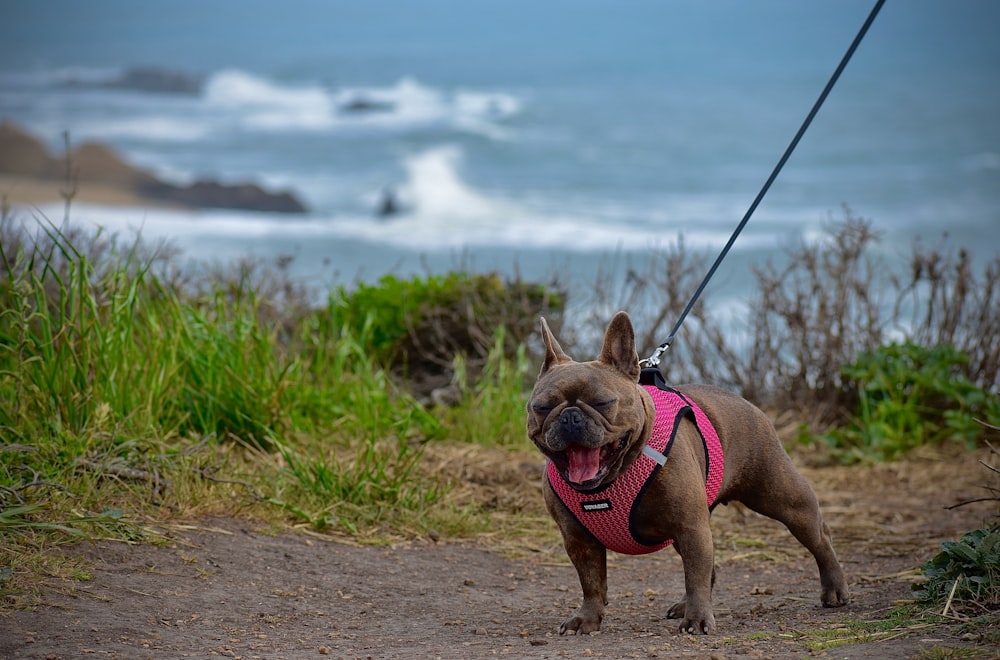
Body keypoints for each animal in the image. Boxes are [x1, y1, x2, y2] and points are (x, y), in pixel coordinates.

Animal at [528, 314, 848, 636]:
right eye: (541, 407)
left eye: (602, 403)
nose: (569, 417)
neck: (609, 481)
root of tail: (744, 402)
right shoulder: (579, 541)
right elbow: (591, 582)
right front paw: (587, 618)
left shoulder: (690, 527)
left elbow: (694, 576)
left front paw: (697, 619)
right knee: (709, 569)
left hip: (782, 497)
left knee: (818, 537)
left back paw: (834, 589)